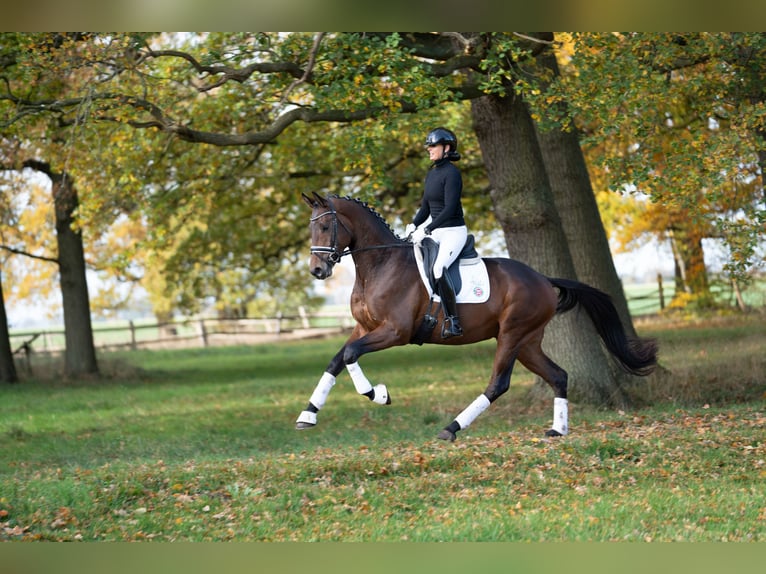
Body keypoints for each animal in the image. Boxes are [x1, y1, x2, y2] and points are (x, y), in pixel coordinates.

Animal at [296, 192, 656, 440]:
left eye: (325, 226)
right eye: (310, 229)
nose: (317, 271)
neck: (380, 265)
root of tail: (541, 278)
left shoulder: (395, 332)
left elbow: (351, 355)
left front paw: (378, 394)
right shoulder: (364, 327)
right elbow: (338, 359)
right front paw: (308, 415)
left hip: (512, 334)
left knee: (498, 383)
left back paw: (451, 428)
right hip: (527, 342)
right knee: (558, 376)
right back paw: (557, 430)